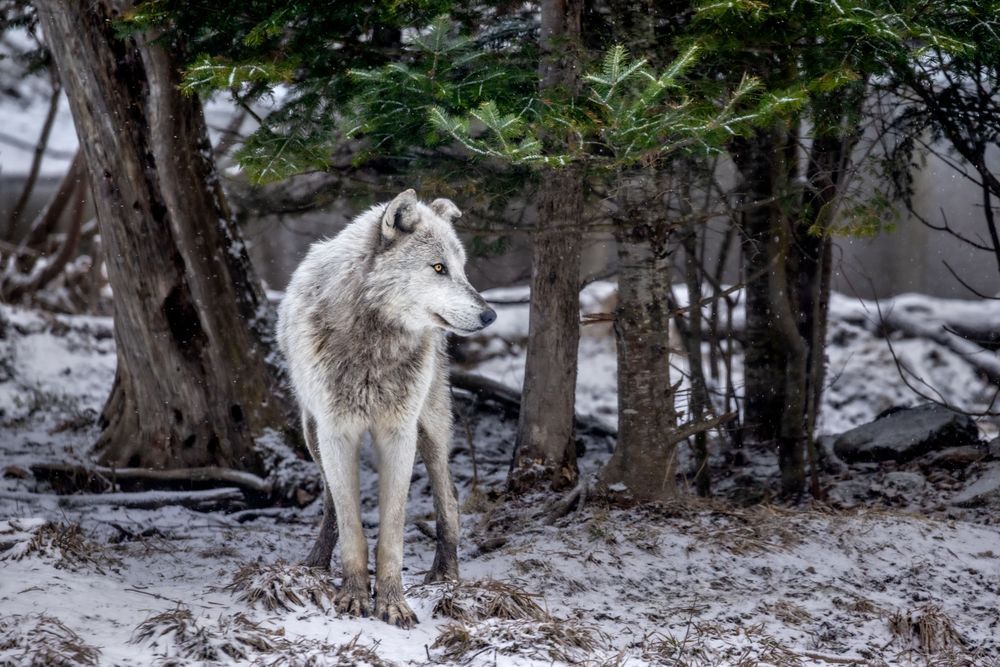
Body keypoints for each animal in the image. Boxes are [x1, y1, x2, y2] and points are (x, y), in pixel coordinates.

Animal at [276, 189, 496, 628]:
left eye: (462, 269)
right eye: (438, 267)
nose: (490, 314)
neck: (372, 348)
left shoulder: (398, 433)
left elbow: (392, 532)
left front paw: (393, 603)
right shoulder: (337, 433)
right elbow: (352, 526)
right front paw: (354, 596)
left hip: (431, 429)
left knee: (449, 501)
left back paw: (447, 576)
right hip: (312, 435)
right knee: (330, 503)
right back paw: (316, 562)